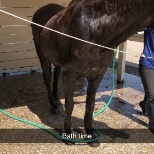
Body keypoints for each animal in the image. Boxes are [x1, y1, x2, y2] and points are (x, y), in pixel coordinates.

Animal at [31, 0, 154, 146]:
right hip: (41, 55)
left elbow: (90, 104)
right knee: (47, 78)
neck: (96, 30)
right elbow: (70, 104)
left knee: (55, 77)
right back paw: (53, 105)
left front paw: (91, 135)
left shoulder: (97, 75)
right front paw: (68, 135)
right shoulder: (70, 75)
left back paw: (56, 101)